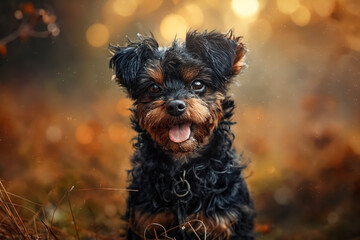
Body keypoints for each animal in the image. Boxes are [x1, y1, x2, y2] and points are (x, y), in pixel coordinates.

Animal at [108, 30, 255, 240]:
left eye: (198, 84)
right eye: (154, 88)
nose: (175, 106)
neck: (183, 171)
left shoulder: (225, 221)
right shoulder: (147, 221)